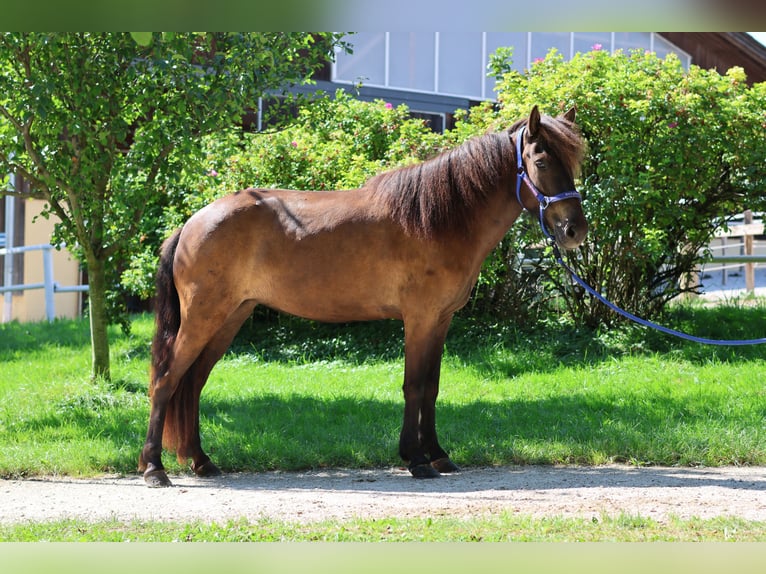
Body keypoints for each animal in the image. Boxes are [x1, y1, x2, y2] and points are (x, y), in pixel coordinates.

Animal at [138, 106, 588, 488]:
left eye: (573, 163)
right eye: (542, 162)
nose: (575, 231)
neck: (440, 217)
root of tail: (192, 222)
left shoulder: (440, 320)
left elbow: (432, 387)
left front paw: (438, 454)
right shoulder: (420, 319)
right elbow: (414, 385)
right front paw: (416, 459)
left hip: (230, 317)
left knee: (193, 382)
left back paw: (201, 461)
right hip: (203, 318)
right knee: (166, 380)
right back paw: (154, 468)